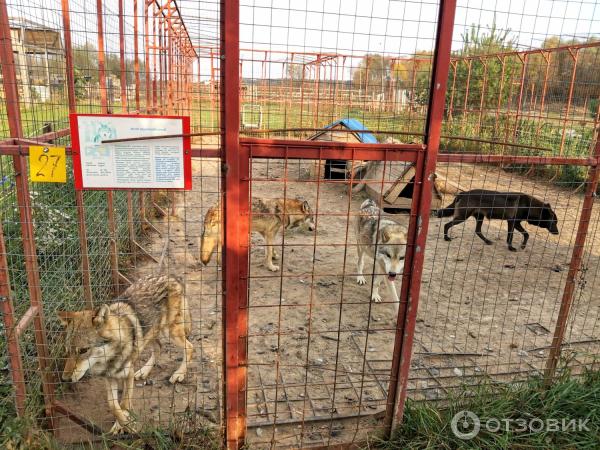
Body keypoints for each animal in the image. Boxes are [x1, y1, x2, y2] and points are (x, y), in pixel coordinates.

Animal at [57, 274, 191, 432]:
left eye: (83, 350)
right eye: (67, 351)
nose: (64, 379)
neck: (110, 358)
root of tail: (171, 276)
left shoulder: (128, 374)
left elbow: (124, 403)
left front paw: (126, 425)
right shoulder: (109, 378)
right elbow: (113, 406)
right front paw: (121, 423)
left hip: (170, 332)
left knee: (190, 347)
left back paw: (179, 374)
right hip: (150, 333)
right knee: (159, 347)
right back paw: (144, 371)